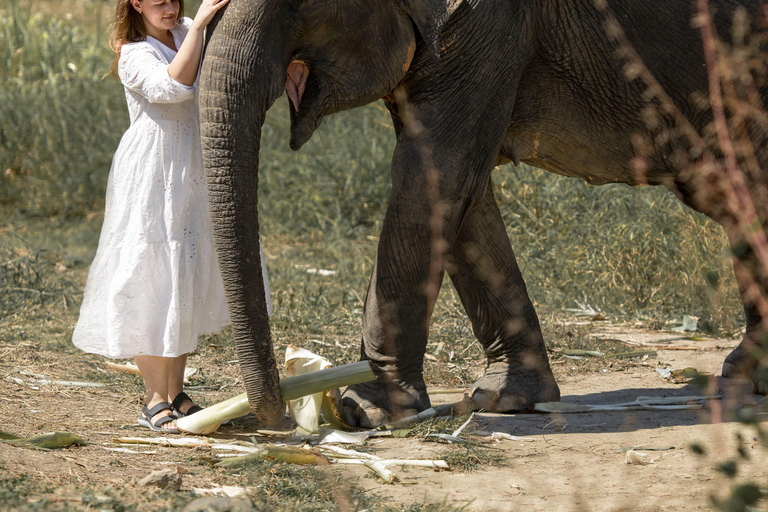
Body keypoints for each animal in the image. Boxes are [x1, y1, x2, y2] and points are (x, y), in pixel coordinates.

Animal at [200, 0, 768, 426]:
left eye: (297, 3)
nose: (276, 419)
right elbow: (464, 196)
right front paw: (503, 399)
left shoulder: (489, 23)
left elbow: (434, 177)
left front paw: (364, 411)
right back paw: (747, 375)